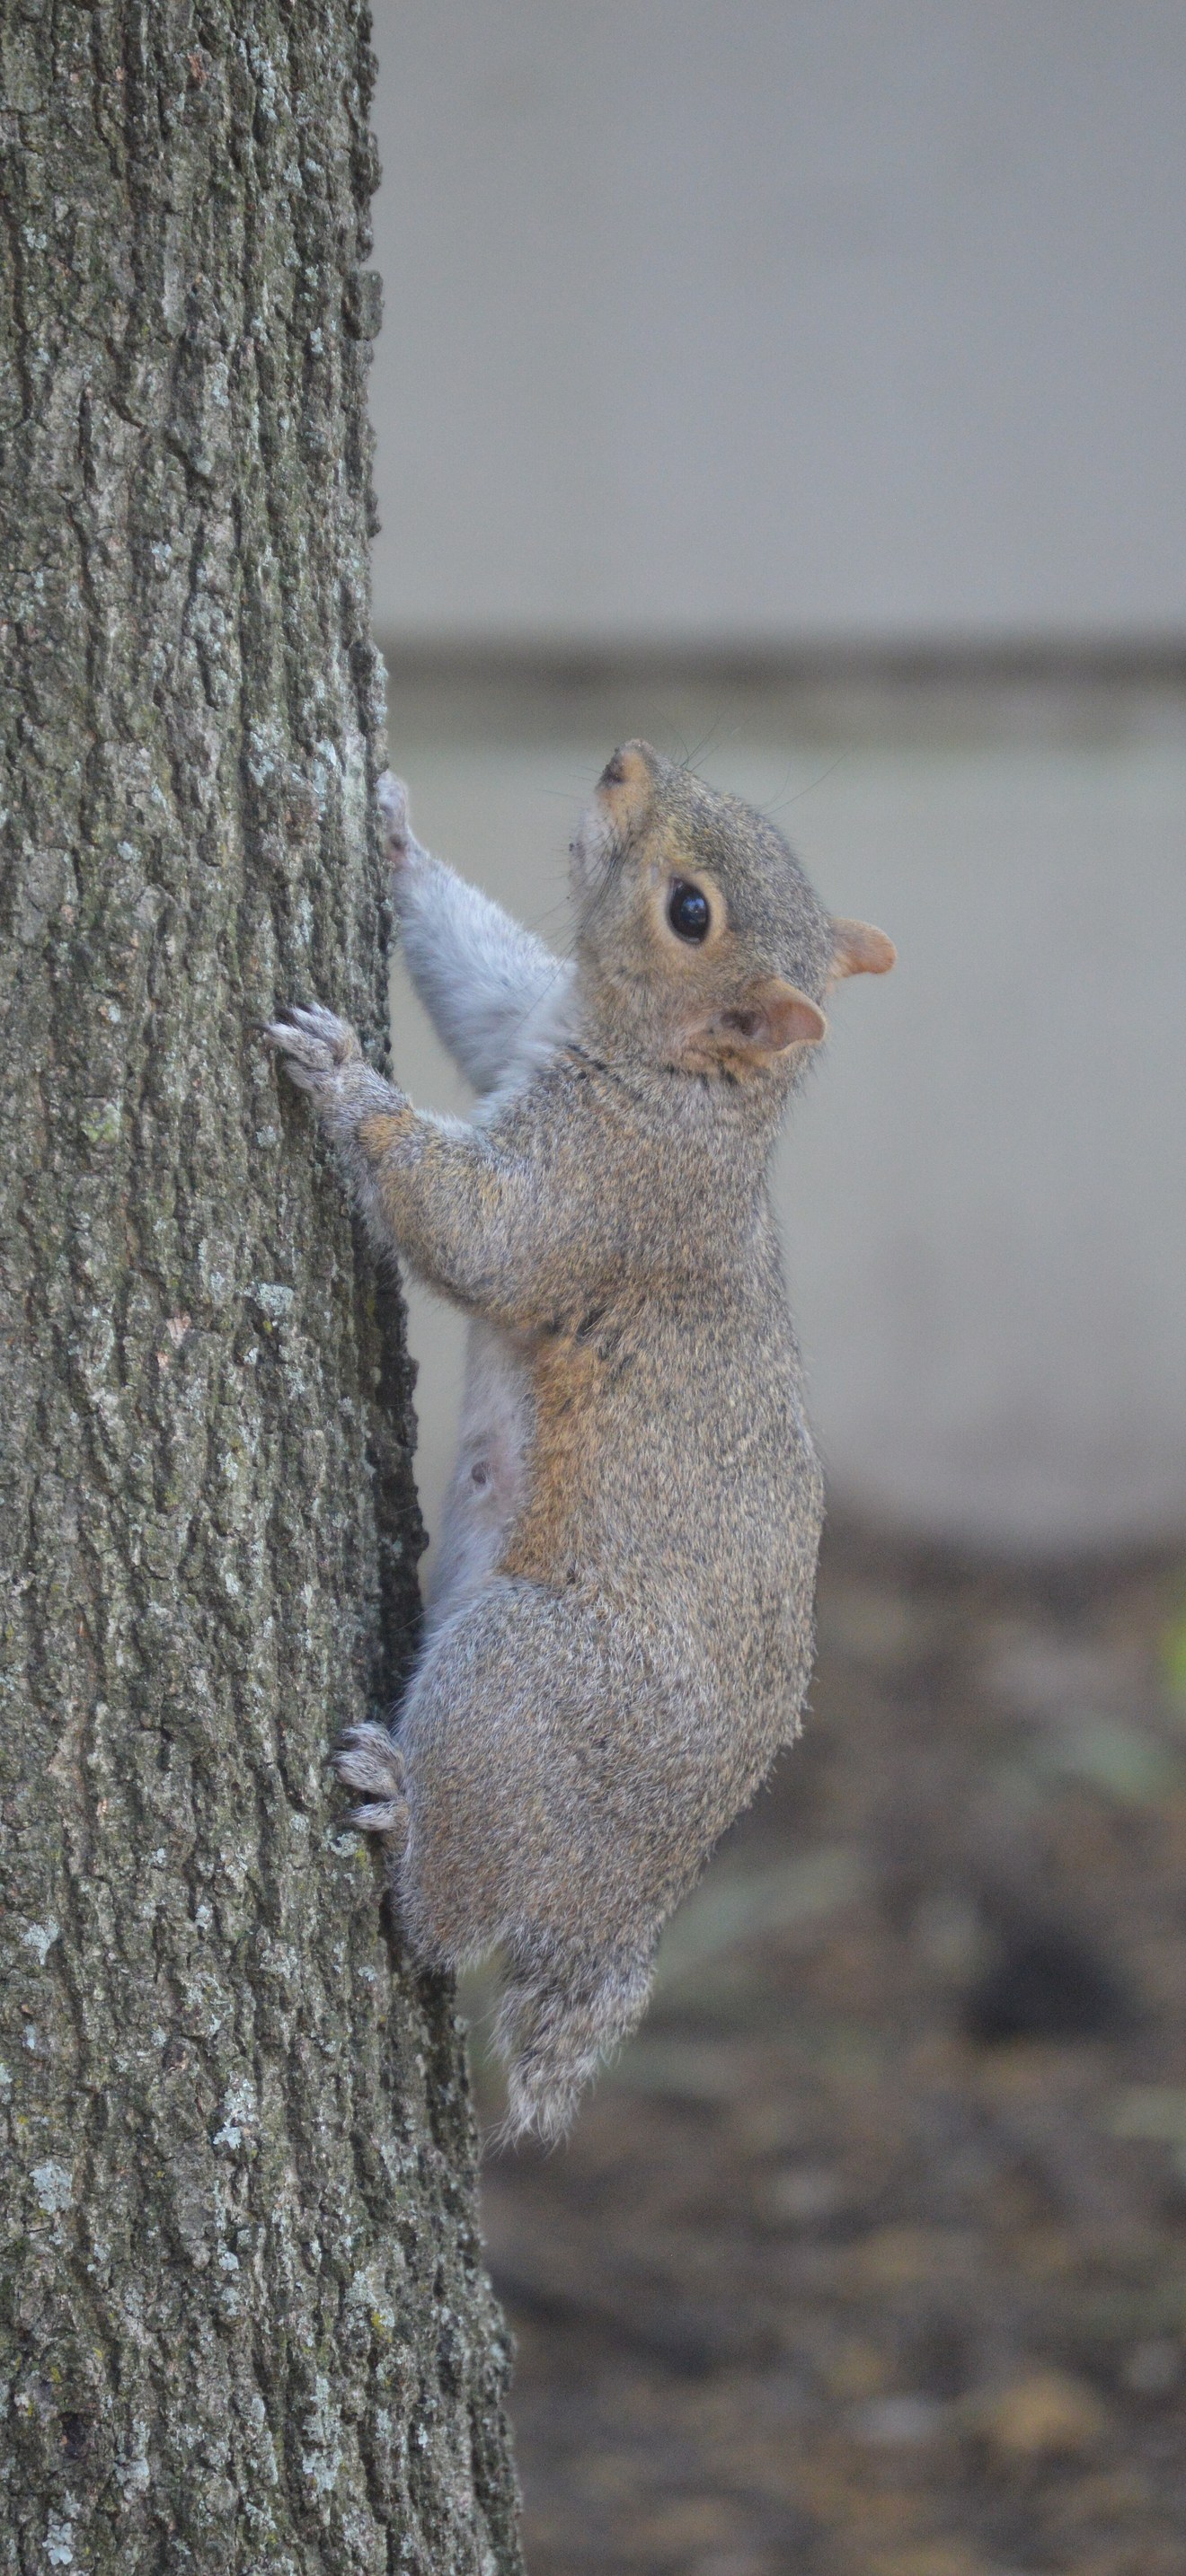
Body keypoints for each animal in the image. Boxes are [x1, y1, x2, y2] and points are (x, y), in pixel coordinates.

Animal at [265, 742, 894, 2139]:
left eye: (691, 912)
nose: (623, 760)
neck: (685, 1083)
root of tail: (631, 1903)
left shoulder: (603, 1192)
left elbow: (478, 1234)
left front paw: (343, 1080)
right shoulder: (521, 1023)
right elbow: (476, 971)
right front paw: (396, 832)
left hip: (524, 1681)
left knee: (450, 1924)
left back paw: (400, 1809)